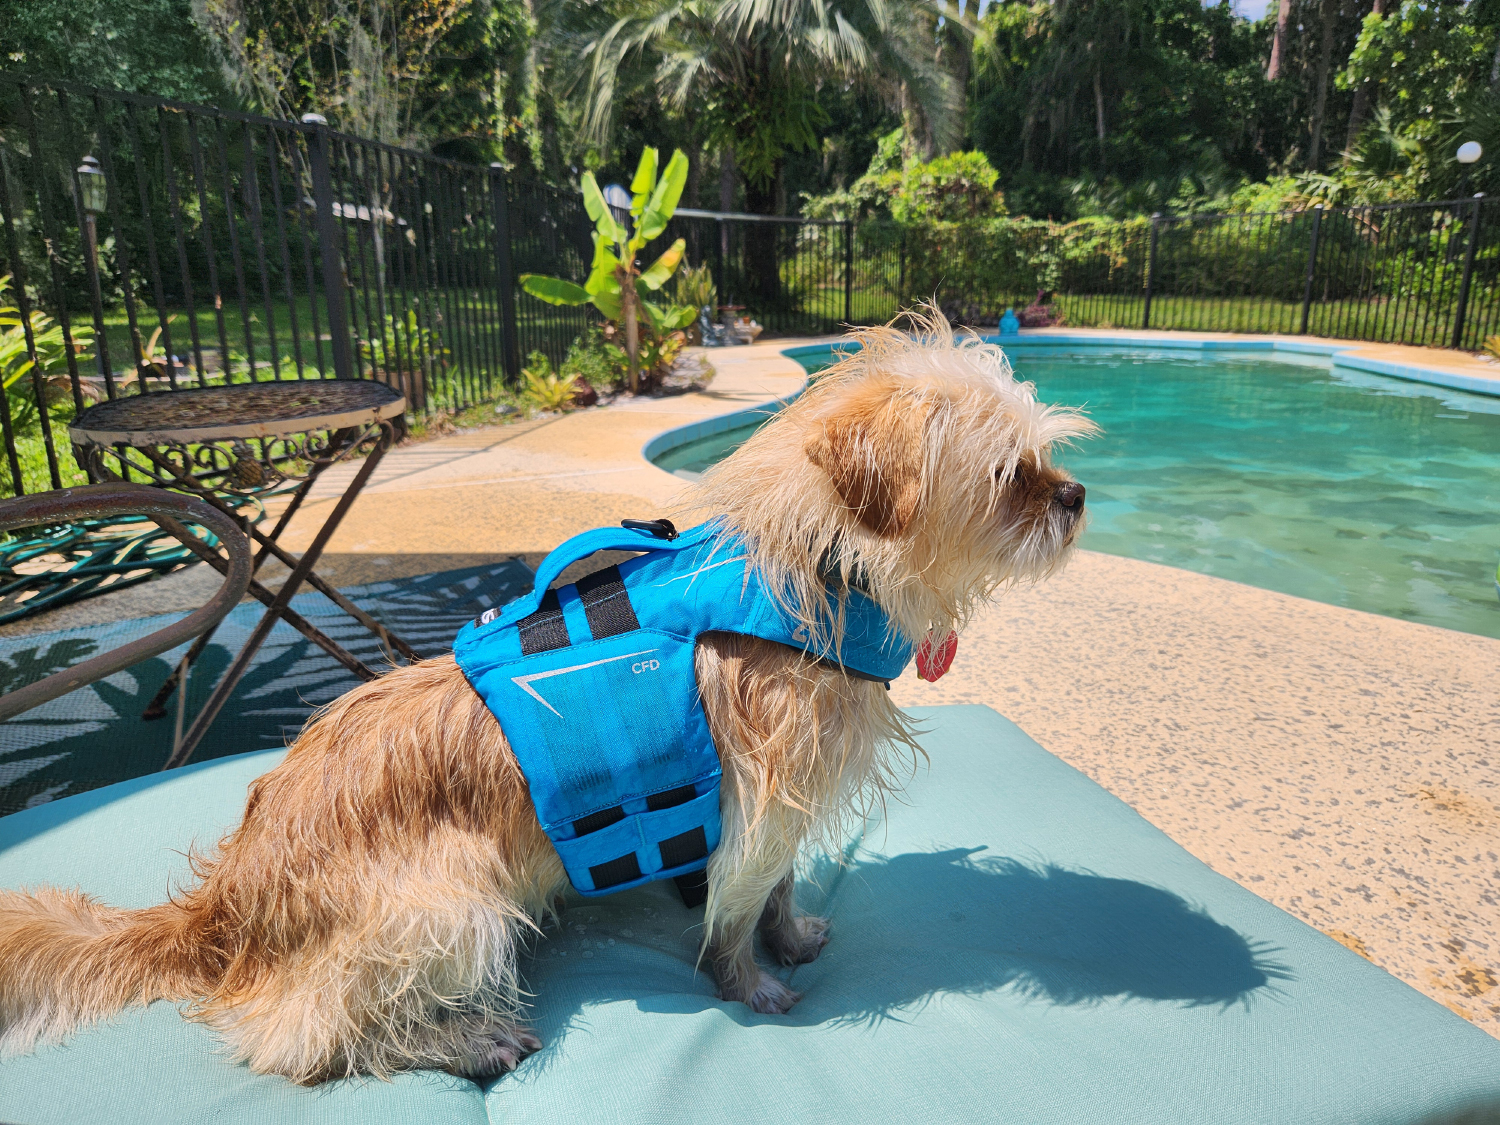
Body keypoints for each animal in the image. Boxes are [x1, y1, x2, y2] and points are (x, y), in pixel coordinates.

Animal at [2, 309, 1104, 1086]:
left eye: (1048, 459)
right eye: (1010, 476)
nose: (1075, 495)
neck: (820, 574)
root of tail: (226, 907)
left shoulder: (778, 798)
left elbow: (783, 883)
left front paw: (792, 936)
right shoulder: (757, 798)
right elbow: (740, 903)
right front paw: (750, 982)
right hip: (450, 899)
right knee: (299, 1037)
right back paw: (465, 1040)